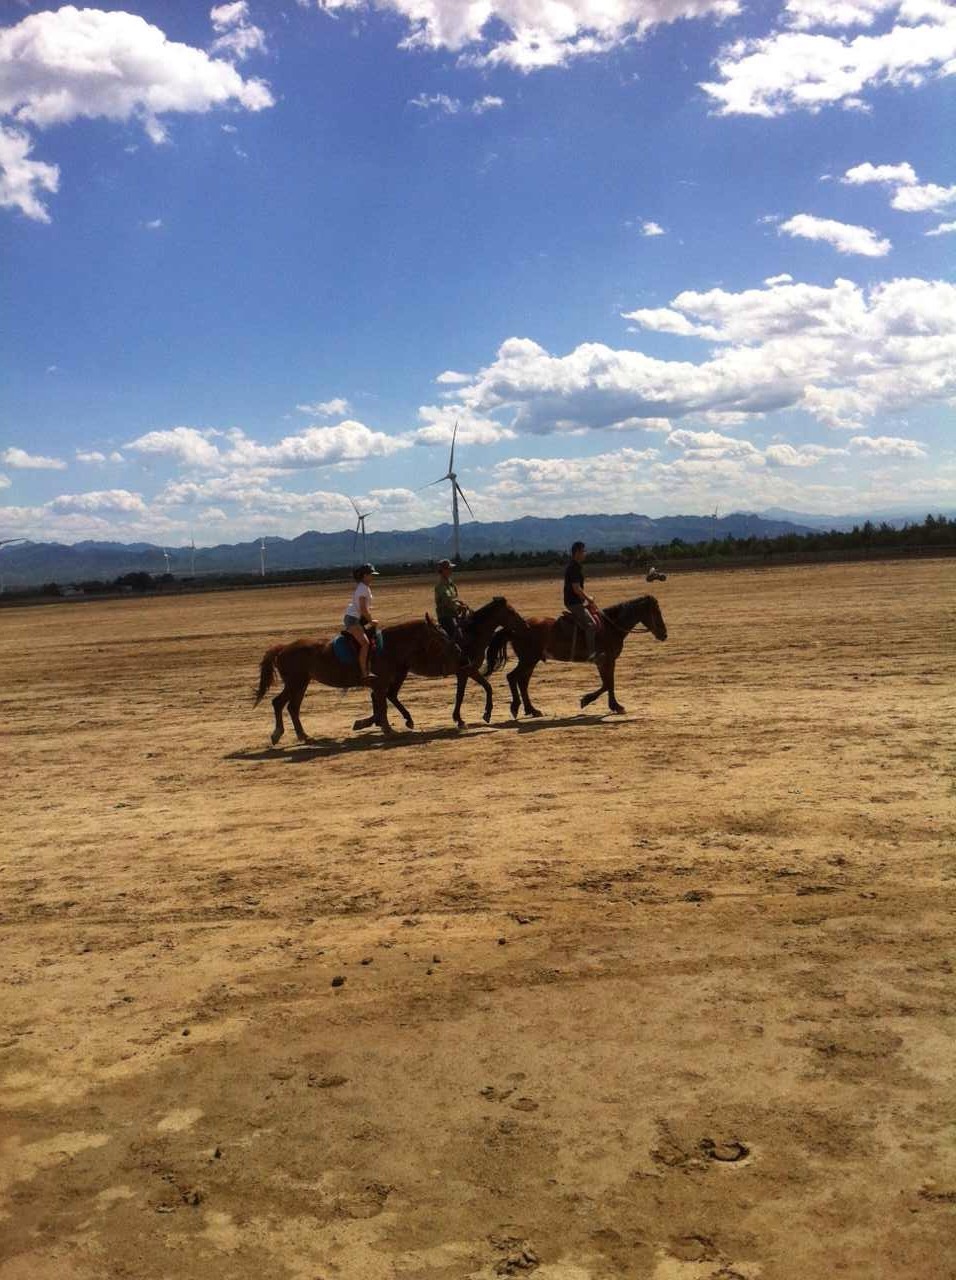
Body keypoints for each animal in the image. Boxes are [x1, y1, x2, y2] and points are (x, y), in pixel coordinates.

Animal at [486, 591, 665, 716]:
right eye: (656, 612)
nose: (664, 634)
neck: (611, 626)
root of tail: (516, 627)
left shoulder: (605, 662)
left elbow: (608, 683)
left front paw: (612, 705)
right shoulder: (606, 660)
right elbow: (608, 683)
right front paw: (592, 701)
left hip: (531, 661)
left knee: (522, 682)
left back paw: (532, 710)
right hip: (528, 659)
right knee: (512, 677)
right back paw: (516, 707)